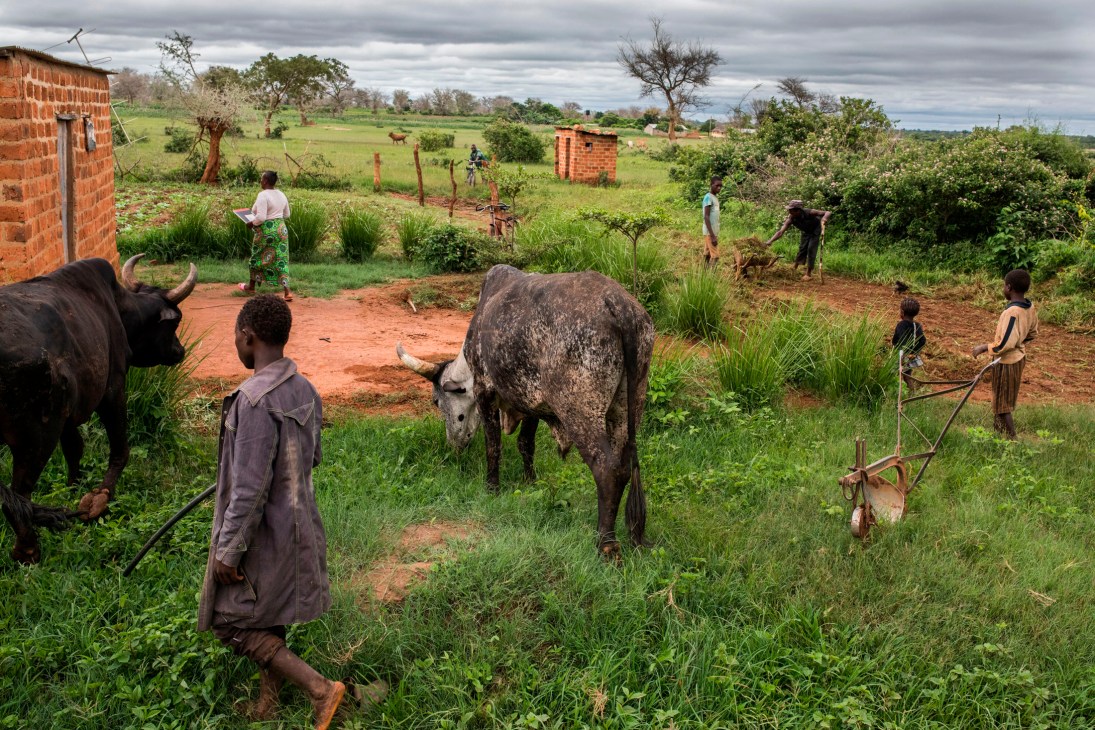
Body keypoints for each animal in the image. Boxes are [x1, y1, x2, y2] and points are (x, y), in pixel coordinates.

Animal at [0, 254, 197, 564]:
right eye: (174, 322)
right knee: (18, 495)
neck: (118, 306)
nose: (180, 351)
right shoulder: (113, 387)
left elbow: (74, 449)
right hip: (37, 437)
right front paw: (101, 497)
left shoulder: (68, 412)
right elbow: (120, 448)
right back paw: (27, 550)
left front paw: (73, 486)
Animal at [397, 265, 655, 558]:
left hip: (579, 411)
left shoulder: (485, 392)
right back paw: (633, 537)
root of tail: (618, 305)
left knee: (607, 469)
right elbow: (525, 444)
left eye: (436, 401)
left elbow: (493, 446)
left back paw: (606, 544)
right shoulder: (533, 404)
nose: (454, 443)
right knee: (626, 466)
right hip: (627, 409)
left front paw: (492, 488)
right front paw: (530, 482)